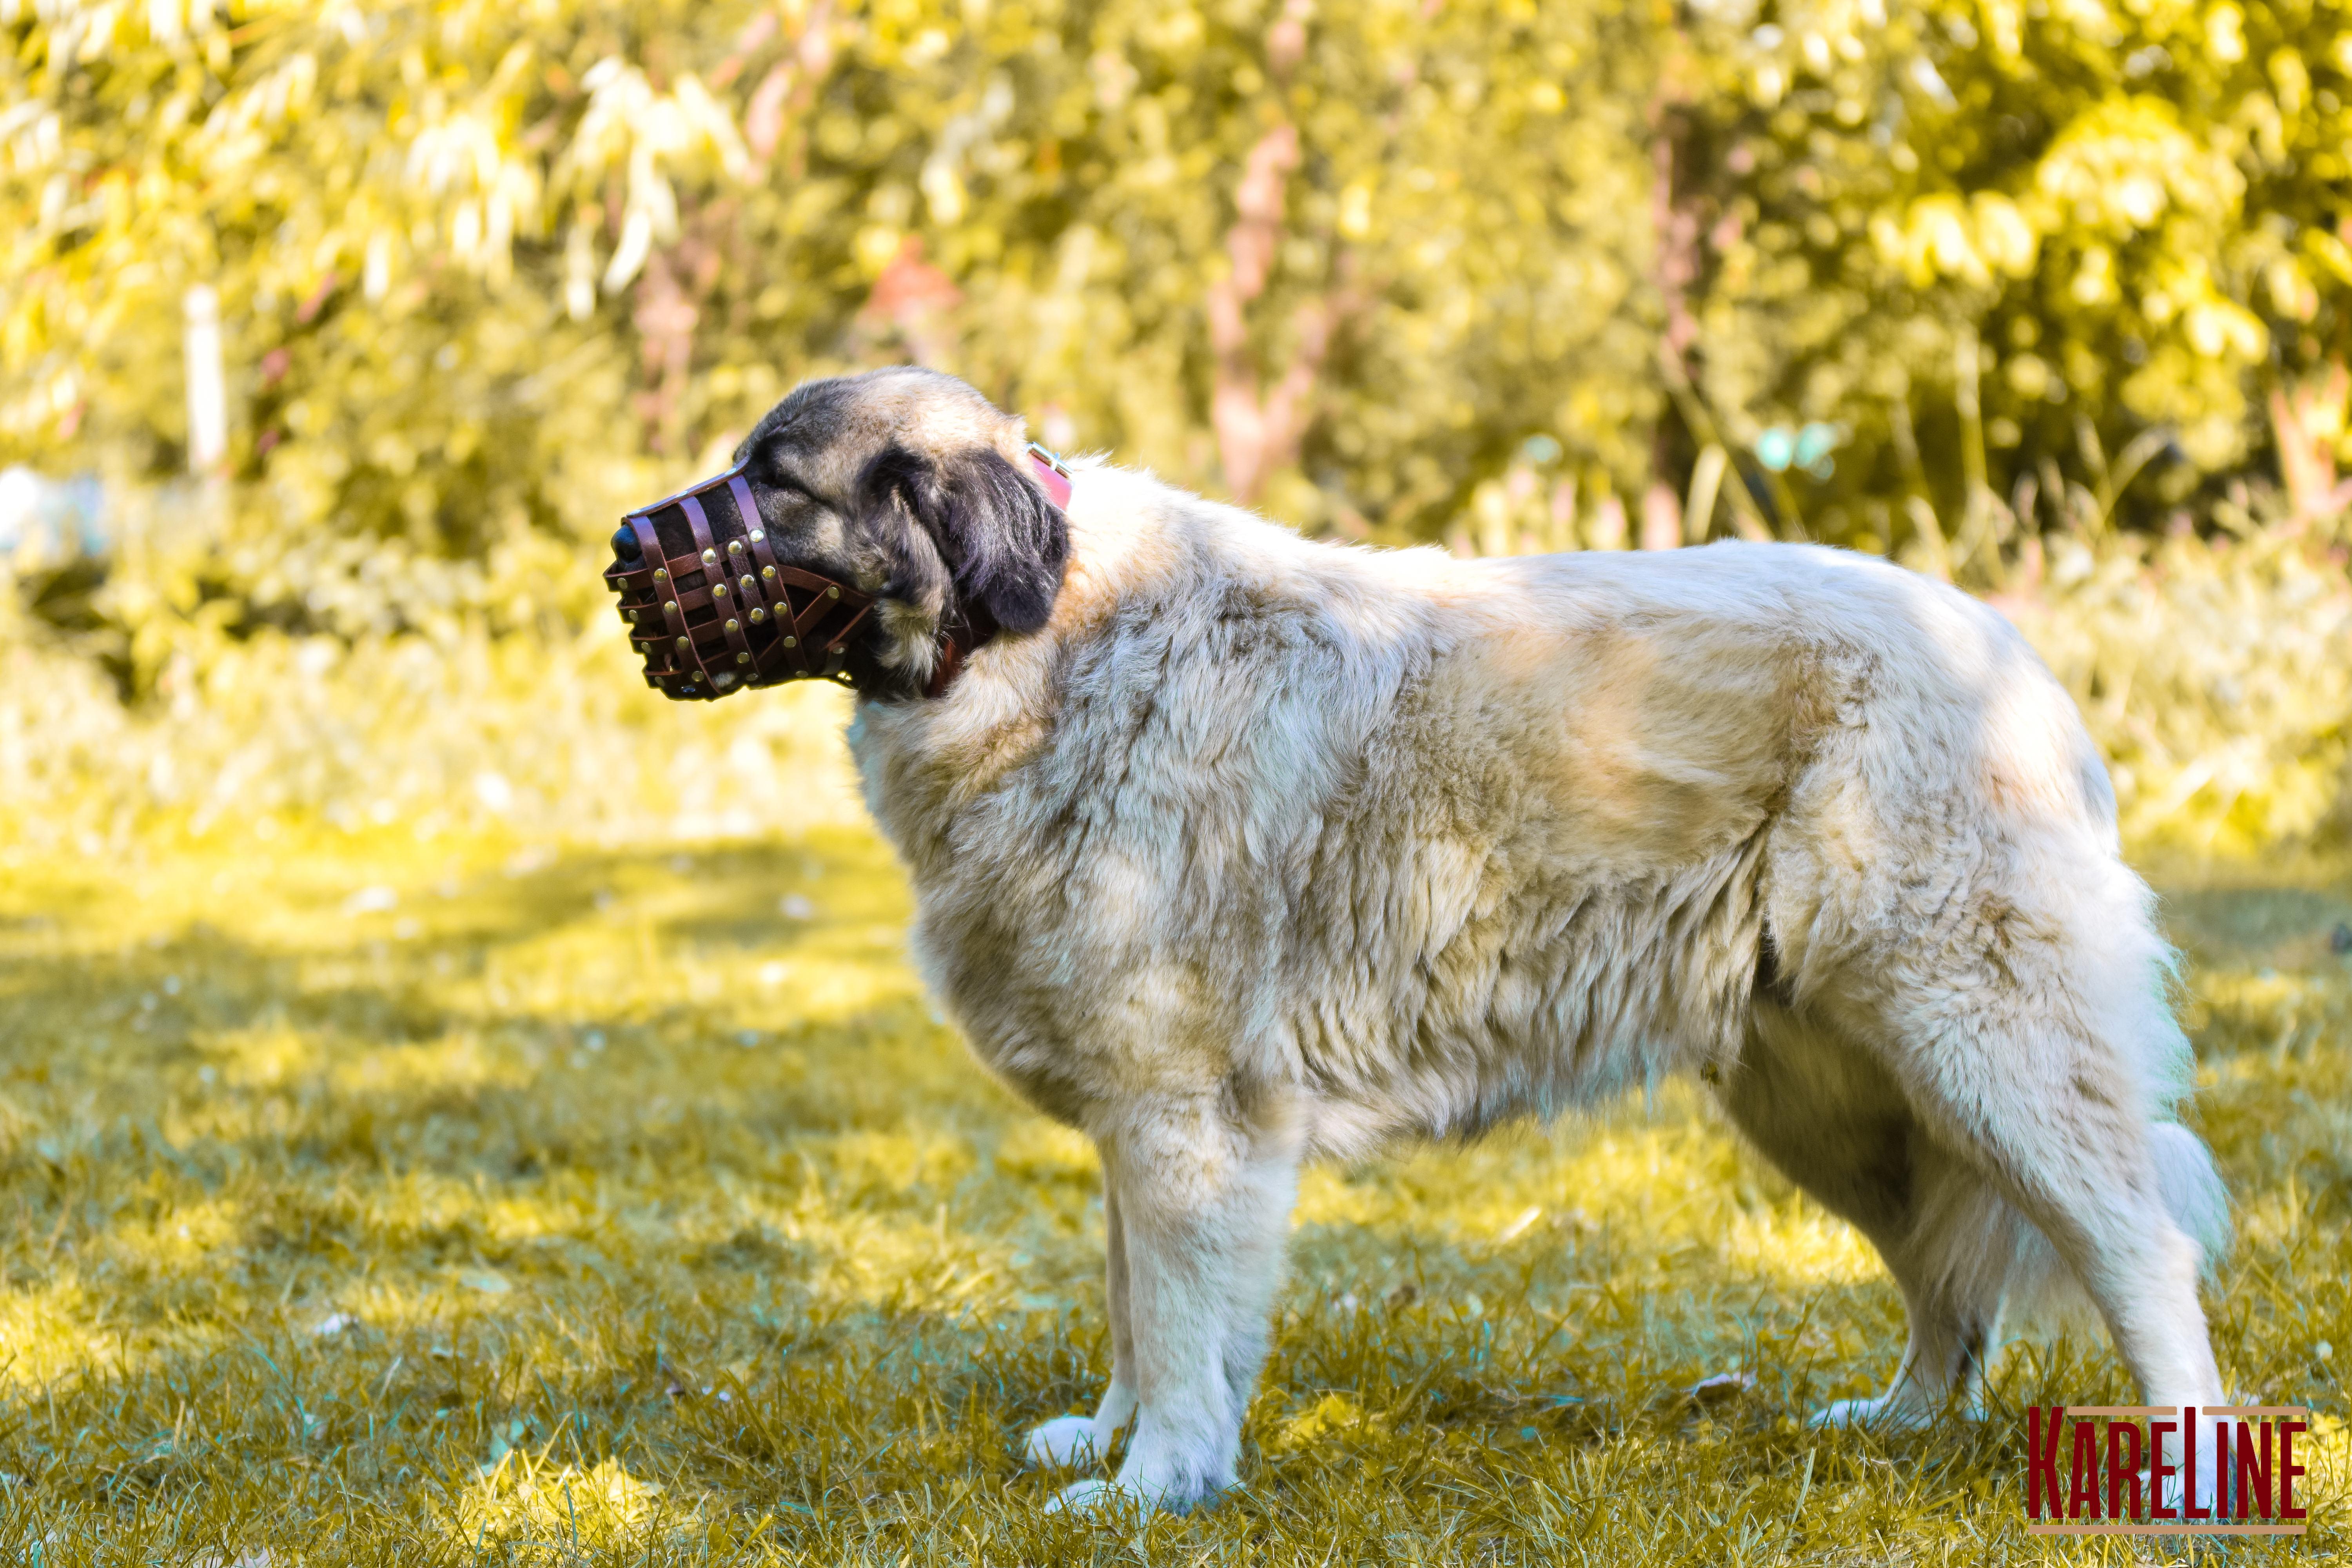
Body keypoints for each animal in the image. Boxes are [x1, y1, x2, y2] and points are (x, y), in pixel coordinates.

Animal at [663, 364, 2220, 1504]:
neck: (1040, 646)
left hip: (1979, 1045)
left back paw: (2188, 1467)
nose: (630, 547)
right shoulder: (1138, 1116)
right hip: (1835, 1104)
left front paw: (1154, 1482)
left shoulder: (1183, 1114)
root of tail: (2007, 650)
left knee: (2138, 1247)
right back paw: (1896, 1421)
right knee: (1948, 1285)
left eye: (773, 484)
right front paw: (1118, 1437)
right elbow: (1132, 1303)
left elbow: (1172, 1318)